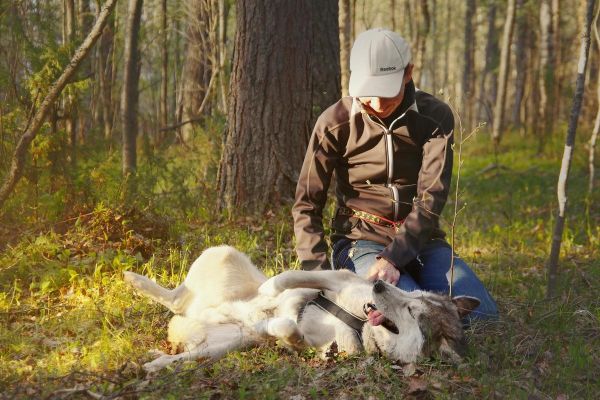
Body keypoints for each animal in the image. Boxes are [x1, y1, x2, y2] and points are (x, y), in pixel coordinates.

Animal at [124, 245, 480, 374]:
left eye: (411, 312)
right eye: (412, 293)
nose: (379, 286)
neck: (359, 323)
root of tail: (196, 313)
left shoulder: (323, 349)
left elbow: (290, 329)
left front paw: (278, 330)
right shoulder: (335, 278)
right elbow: (292, 278)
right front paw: (271, 292)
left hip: (218, 348)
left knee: (183, 348)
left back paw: (155, 362)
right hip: (222, 253)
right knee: (174, 295)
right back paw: (135, 279)